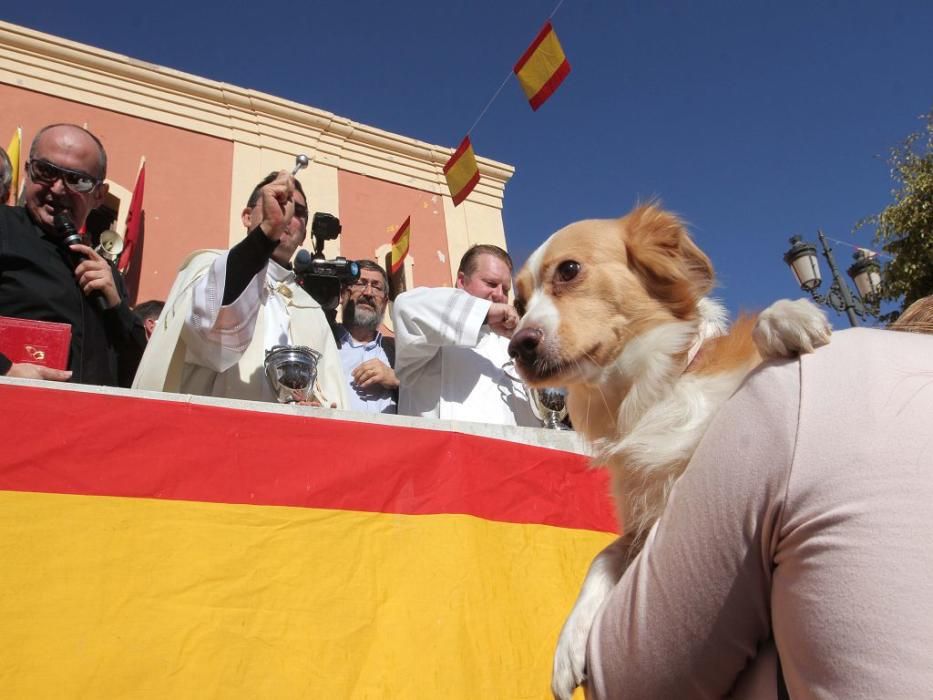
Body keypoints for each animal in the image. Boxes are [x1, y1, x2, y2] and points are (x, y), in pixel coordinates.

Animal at [510, 204, 832, 700]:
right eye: (518, 305)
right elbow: (602, 556)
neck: (648, 395)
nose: (516, 346)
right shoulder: (641, 523)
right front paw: (569, 641)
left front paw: (785, 316)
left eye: (568, 270)